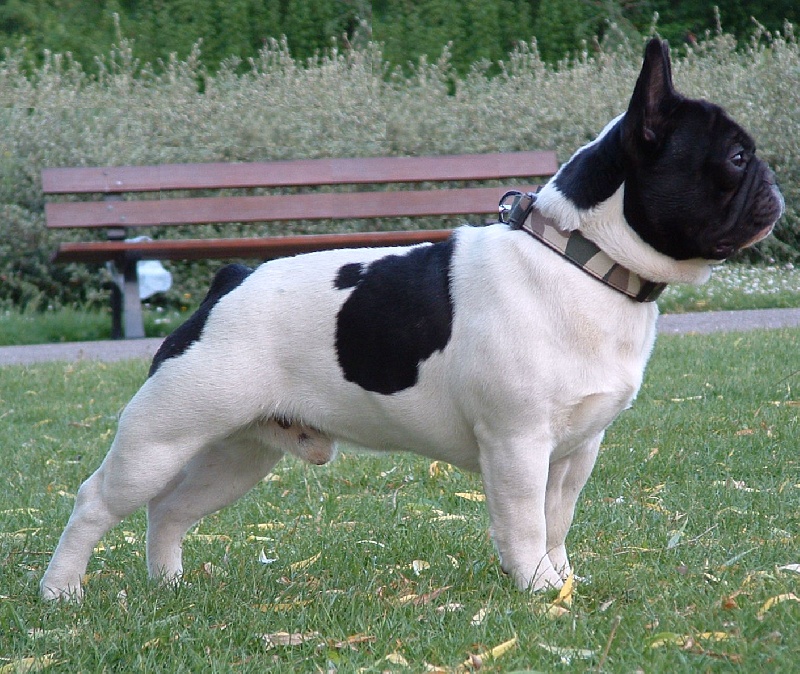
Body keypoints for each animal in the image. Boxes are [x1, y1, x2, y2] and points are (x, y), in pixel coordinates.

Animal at [40, 39, 784, 600]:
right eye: (736, 157)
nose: (775, 184)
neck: (583, 260)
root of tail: (228, 283)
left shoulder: (576, 451)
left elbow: (556, 519)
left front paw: (561, 579)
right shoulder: (517, 443)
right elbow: (522, 521)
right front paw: (537, 590)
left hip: (239, 453)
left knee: (170, 510)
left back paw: (167, 582)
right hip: (162, 435)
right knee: (97, 499)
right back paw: (61, 590)